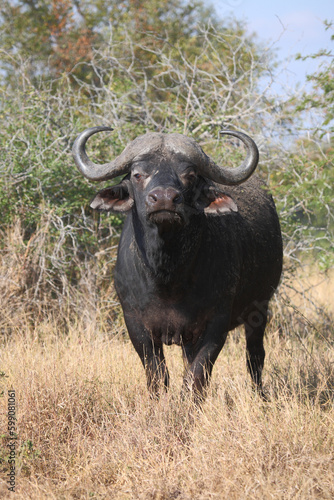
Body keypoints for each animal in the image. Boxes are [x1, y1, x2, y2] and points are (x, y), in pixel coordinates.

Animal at [73, 126, 282, 402]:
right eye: (138, 174)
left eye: (189, 175)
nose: (164, 199)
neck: (167, 276)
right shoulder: (136, 325)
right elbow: (157, 374)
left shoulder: (216, 325)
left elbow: (196, 377)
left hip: (259, 308)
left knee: (255, 356)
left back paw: (261, 396)